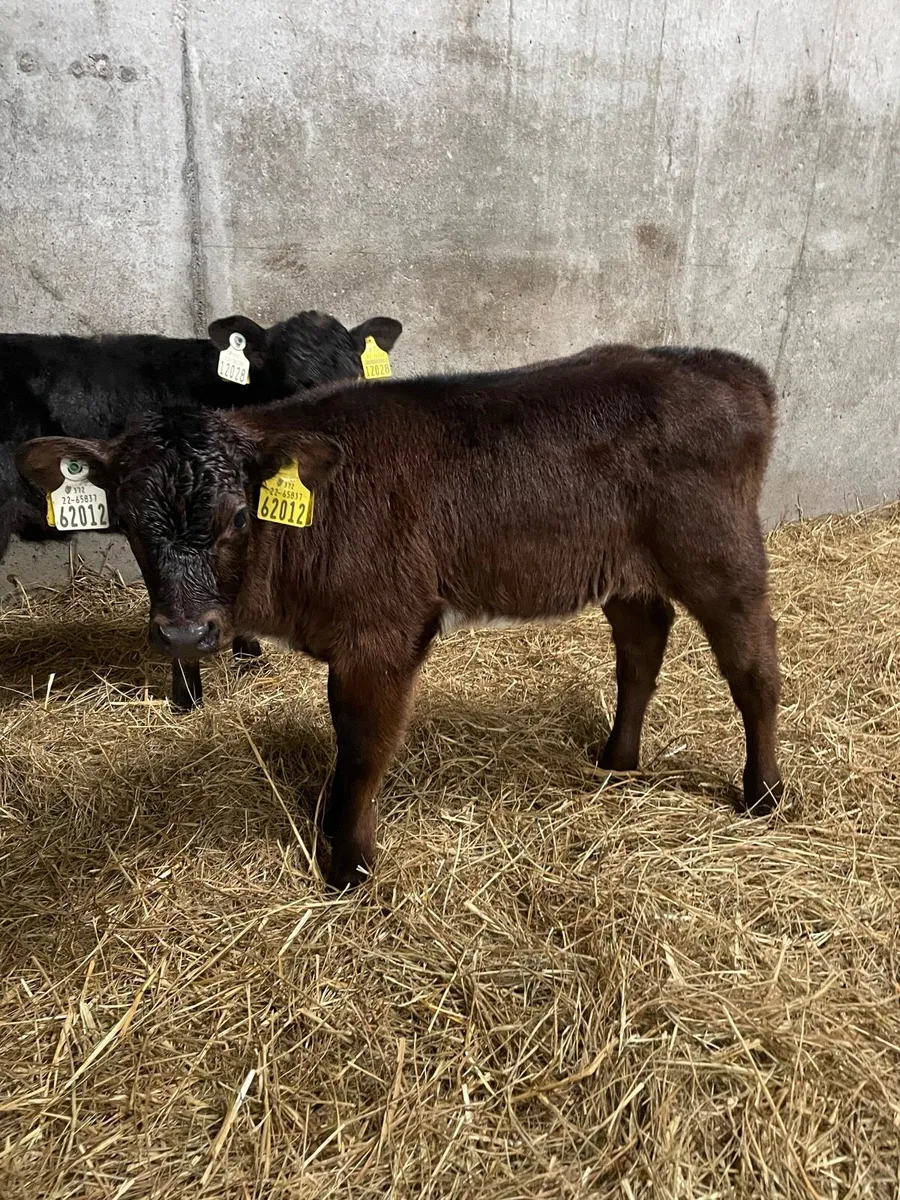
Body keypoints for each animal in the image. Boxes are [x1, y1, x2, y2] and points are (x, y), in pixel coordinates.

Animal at [17, 343, 784, 889]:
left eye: (238, 515)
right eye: (125, 523)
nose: (184, 631)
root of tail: (724, 367)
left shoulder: (382, 635)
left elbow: (362, 748)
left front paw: (349, 866)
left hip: (721, 555)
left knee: (754, 668)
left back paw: (765, 794)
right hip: (625, 568)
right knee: (641, 645)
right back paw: (617, 760)